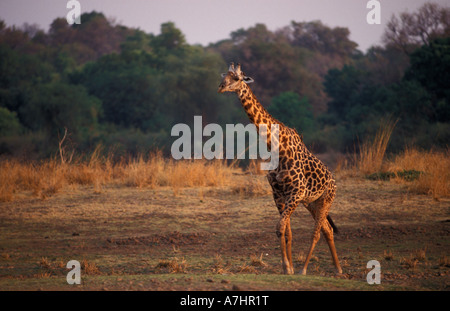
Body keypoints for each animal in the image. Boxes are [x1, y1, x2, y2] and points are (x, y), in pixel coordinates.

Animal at [218, 62, 342, 276]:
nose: (221, 86)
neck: (276, 146)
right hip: (312, 203)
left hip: (326, 200)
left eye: (237, 78)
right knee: (327, 229)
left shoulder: (296, 192)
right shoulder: (278, 193)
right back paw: (338, 269)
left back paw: (305, 269)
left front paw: (290, 267)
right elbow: (285, 231)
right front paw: (287, 268)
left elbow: (280, 228)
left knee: (317, 232)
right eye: (225, 75)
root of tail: (333, 181)